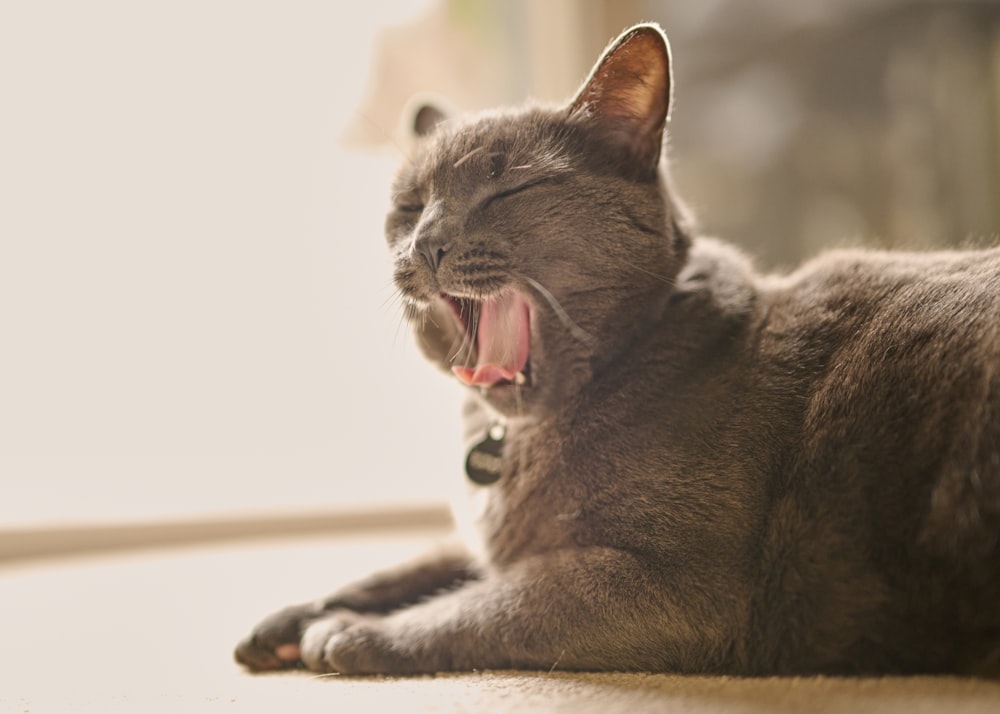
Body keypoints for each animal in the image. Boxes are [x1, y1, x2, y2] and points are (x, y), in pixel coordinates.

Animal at [236, 22, 1000, 676]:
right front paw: (289, 618)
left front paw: (347, 632)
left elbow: (500, 598)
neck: (518, 439)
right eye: (407, 204)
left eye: (507, 188)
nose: (424, 242)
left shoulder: (673, 586)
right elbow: (423, 559)